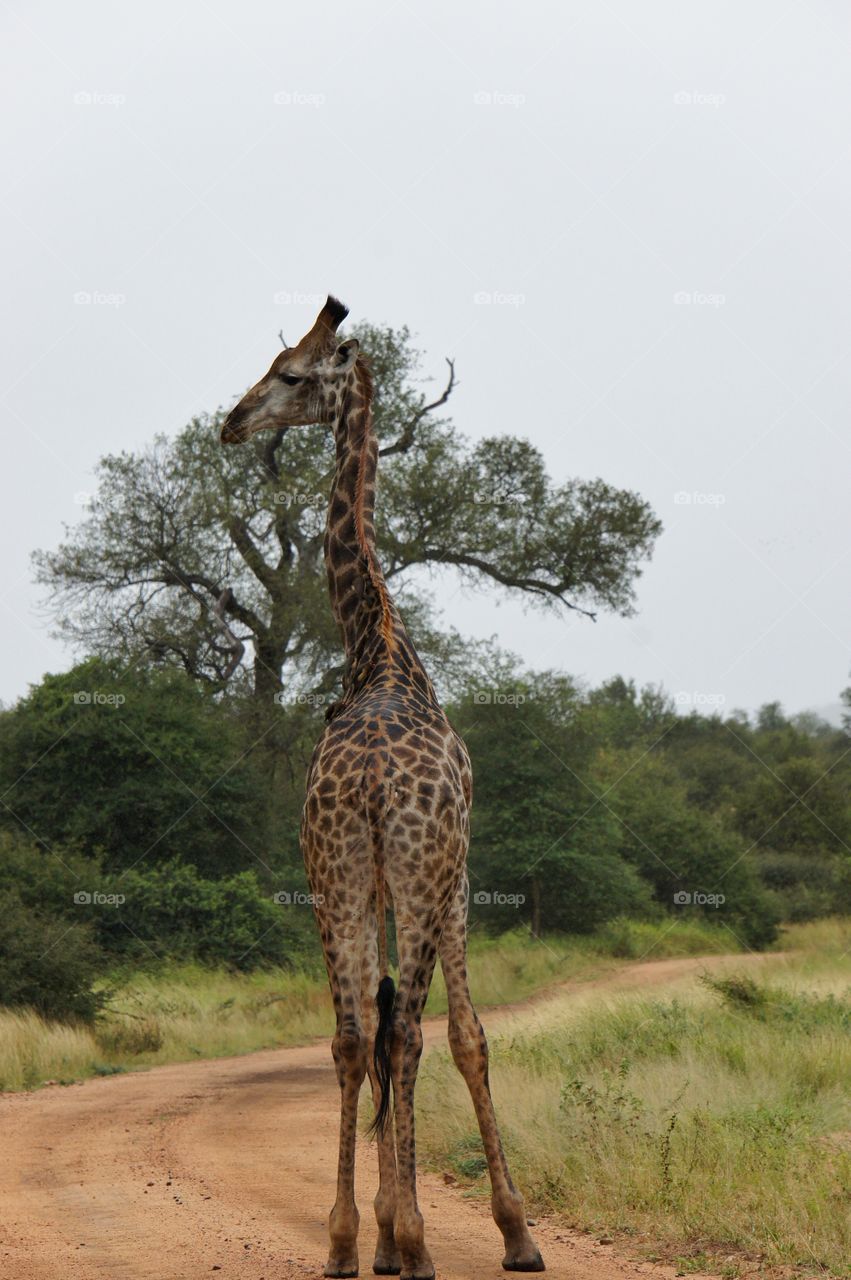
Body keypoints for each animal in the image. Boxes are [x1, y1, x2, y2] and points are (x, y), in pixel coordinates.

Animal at [222, 296, 540, 1280]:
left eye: (289, 372)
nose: (230, 422)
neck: (381, 650)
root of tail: (366, 783)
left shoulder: (380, 881)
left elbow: (393, 1026)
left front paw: (388, 1235)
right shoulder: (454, 873)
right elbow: (463, 1035)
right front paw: (505, 1232)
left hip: (332, 873)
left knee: (353, 1033)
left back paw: (340, 1243)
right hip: (410, 872)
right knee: (400, 1033)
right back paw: (413, 1240)